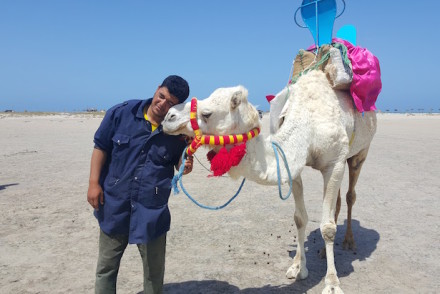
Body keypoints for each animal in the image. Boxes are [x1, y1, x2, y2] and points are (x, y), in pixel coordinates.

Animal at [163, 70, 376, 292]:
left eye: (207, 113)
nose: (169, 116)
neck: (308, 125)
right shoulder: (293, 168)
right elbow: (300, 218)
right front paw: (298, 268)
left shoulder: (334, 163)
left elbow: (327, 228)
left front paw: (332, 284)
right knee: (338, 202)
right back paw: (322, 254)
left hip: (359, 153)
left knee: (350, 195)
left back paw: (349, 241)